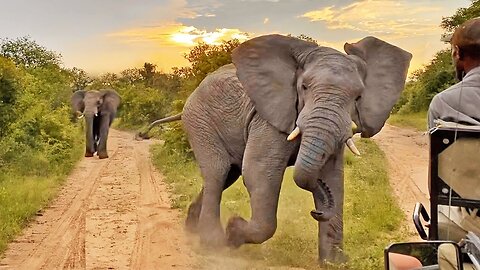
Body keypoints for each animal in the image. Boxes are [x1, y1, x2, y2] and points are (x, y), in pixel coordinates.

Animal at [143, 34, 412, 264]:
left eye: (358, 97)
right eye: (304, 87)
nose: (317, 211)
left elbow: (335, 179)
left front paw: (334, 263)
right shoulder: (266, 119)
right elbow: (259, 173)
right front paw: (233, 232)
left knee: (228, 175)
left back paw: (191, 229)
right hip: (200, 121)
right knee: (217, 173)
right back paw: (213, 245)